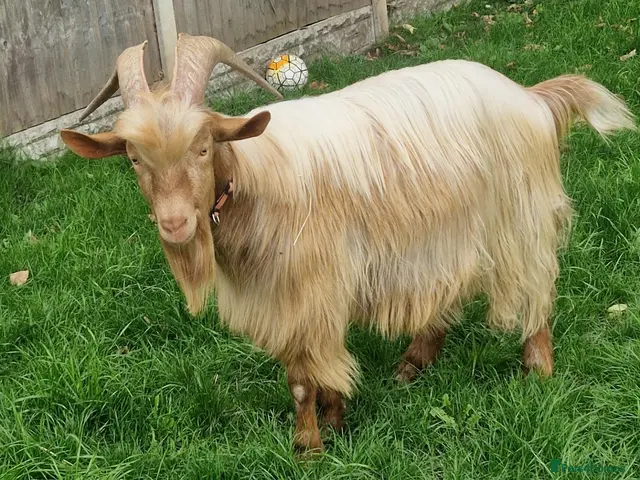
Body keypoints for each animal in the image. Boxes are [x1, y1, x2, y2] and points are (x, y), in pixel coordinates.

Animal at [59, 34, 635, 453]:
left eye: (203, 146)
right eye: (134, 158)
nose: (175, 224)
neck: (256, 178)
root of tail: (531, 99)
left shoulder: (307, 290)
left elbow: (302, 379)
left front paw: (309, 448)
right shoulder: (305, 296)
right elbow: (318, 369)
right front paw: (335, 421)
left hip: (518, 218)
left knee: (536, 287)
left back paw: (537, 370)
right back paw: (412, 363)